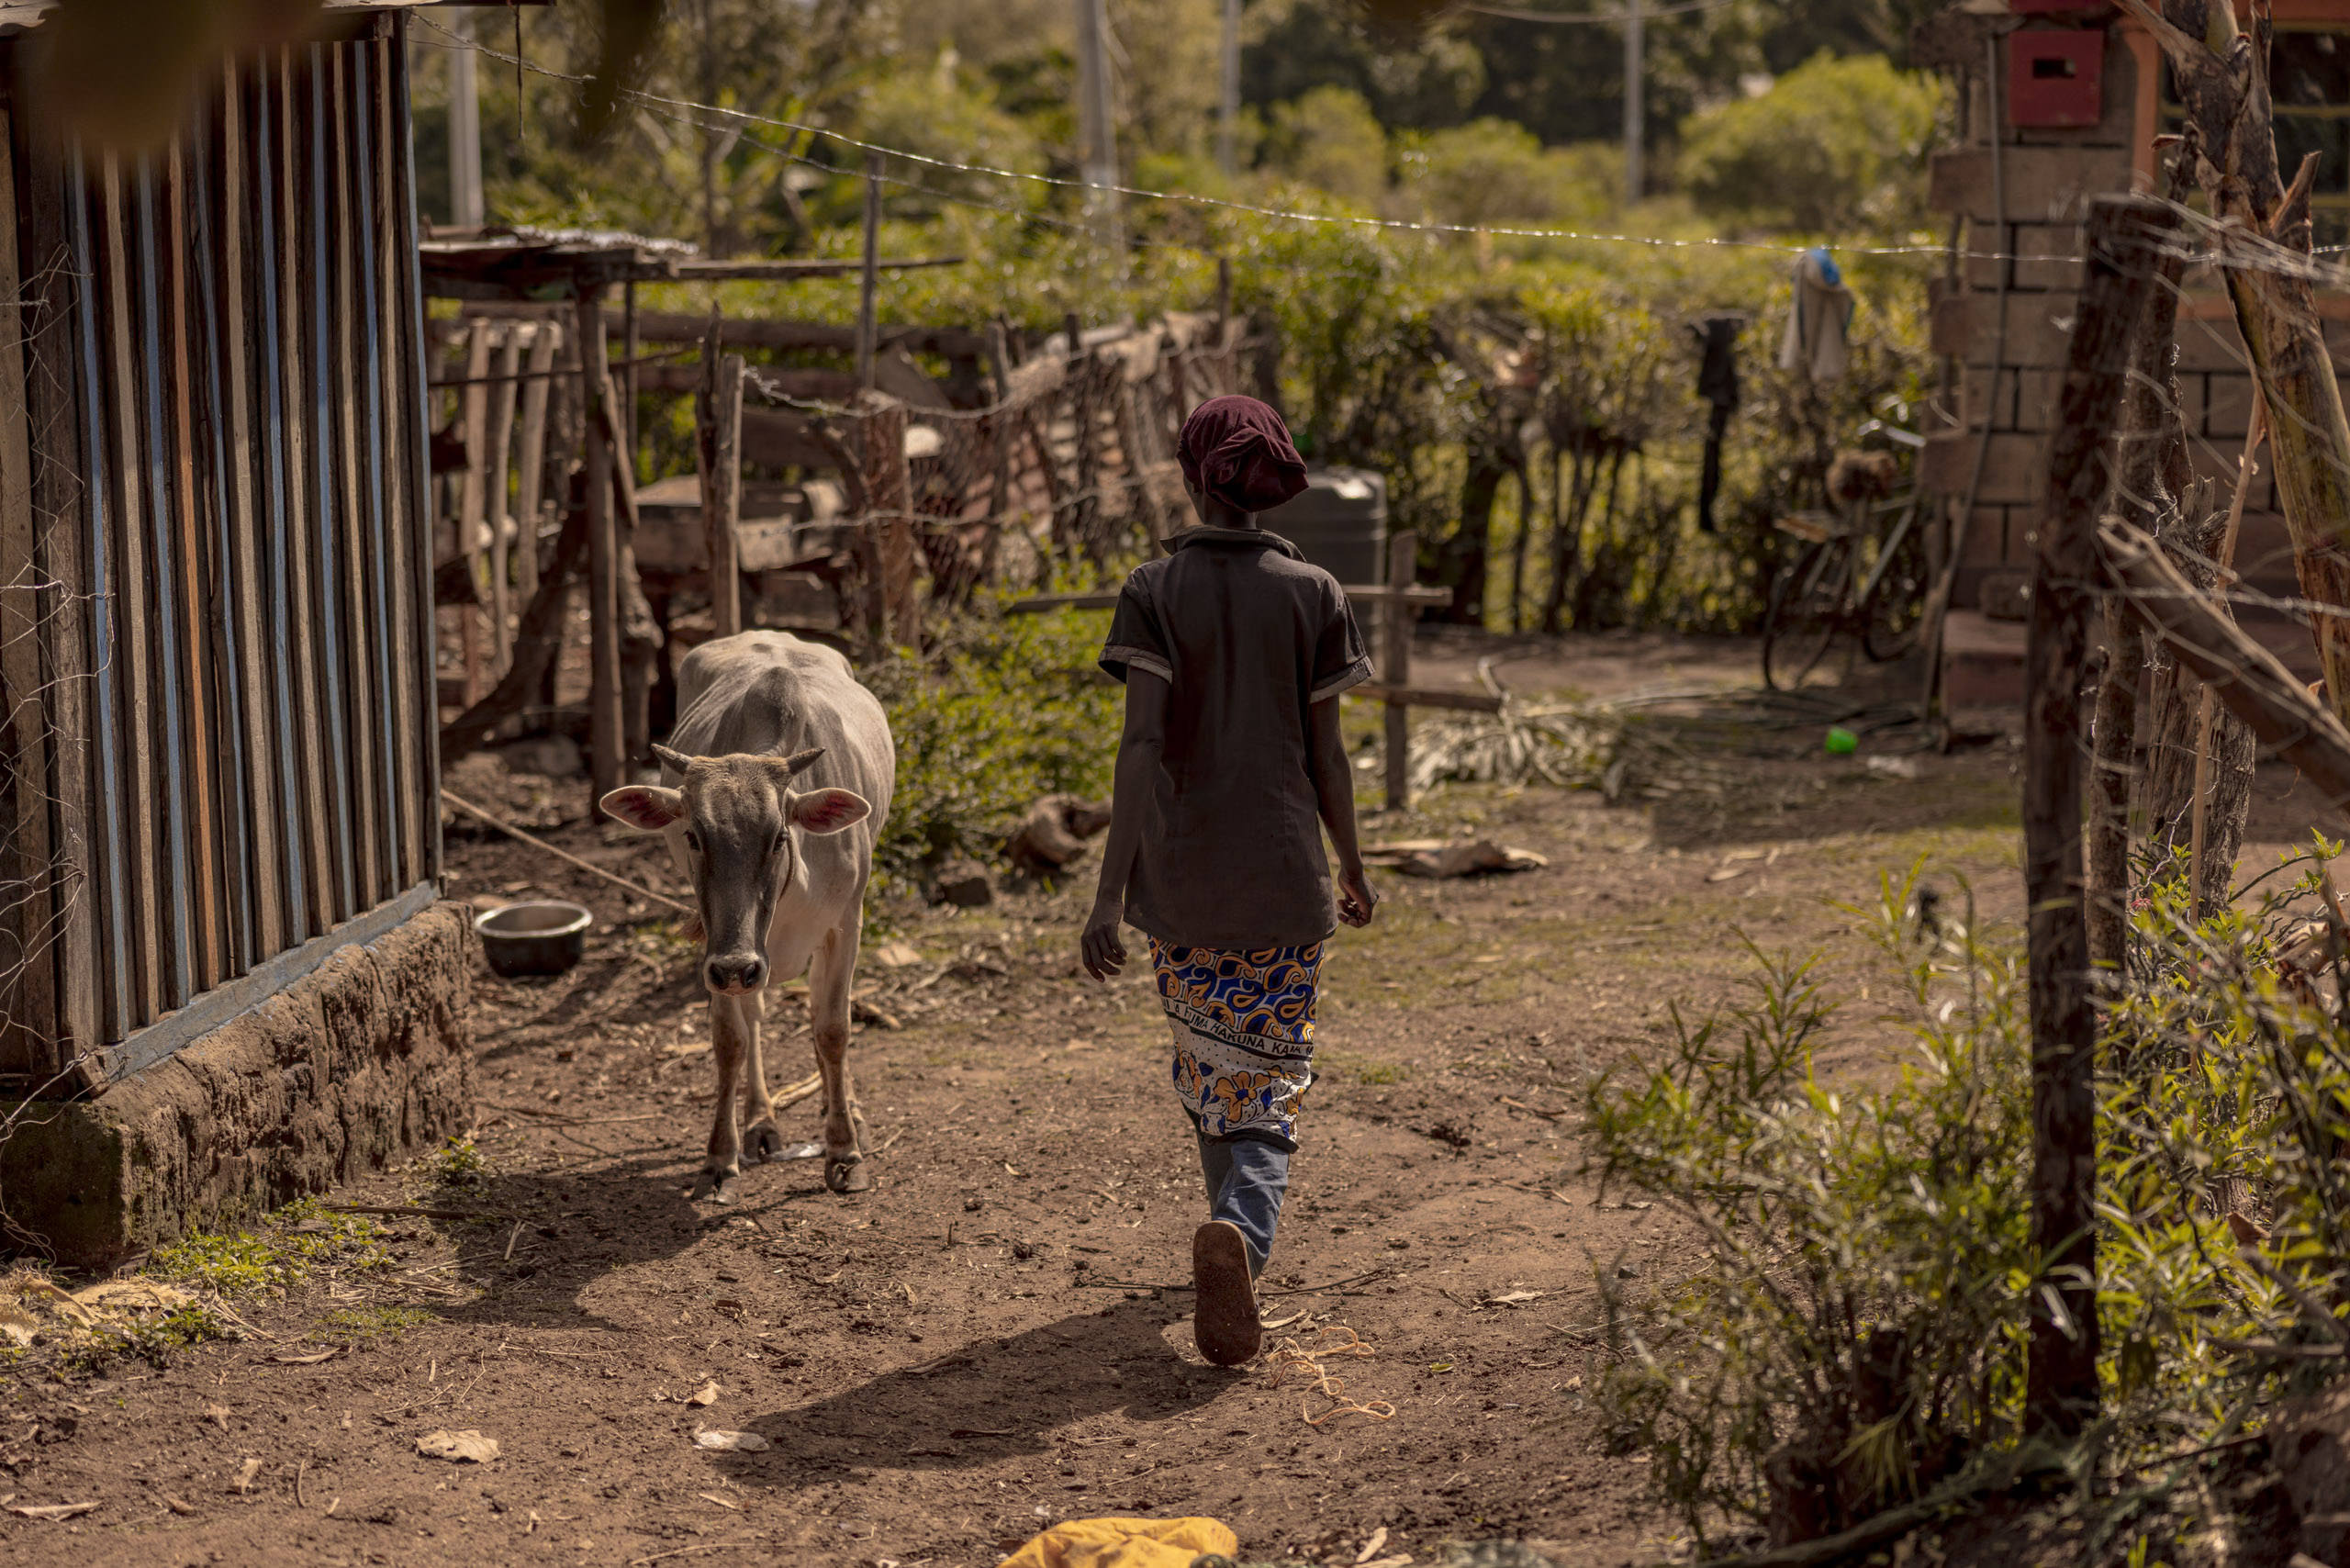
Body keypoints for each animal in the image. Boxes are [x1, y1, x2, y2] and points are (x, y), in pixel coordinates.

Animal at [601, 630, 892, 1193]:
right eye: (694, 836)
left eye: (779, 836)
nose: (738, 967)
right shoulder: (722, 951)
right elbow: (731, 1040)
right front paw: (720, 1156)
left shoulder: (845, 924)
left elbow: (833, 1029)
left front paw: (843, 1148)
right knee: (756, 1016)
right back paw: (761, 1122)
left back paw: (844, 1109)